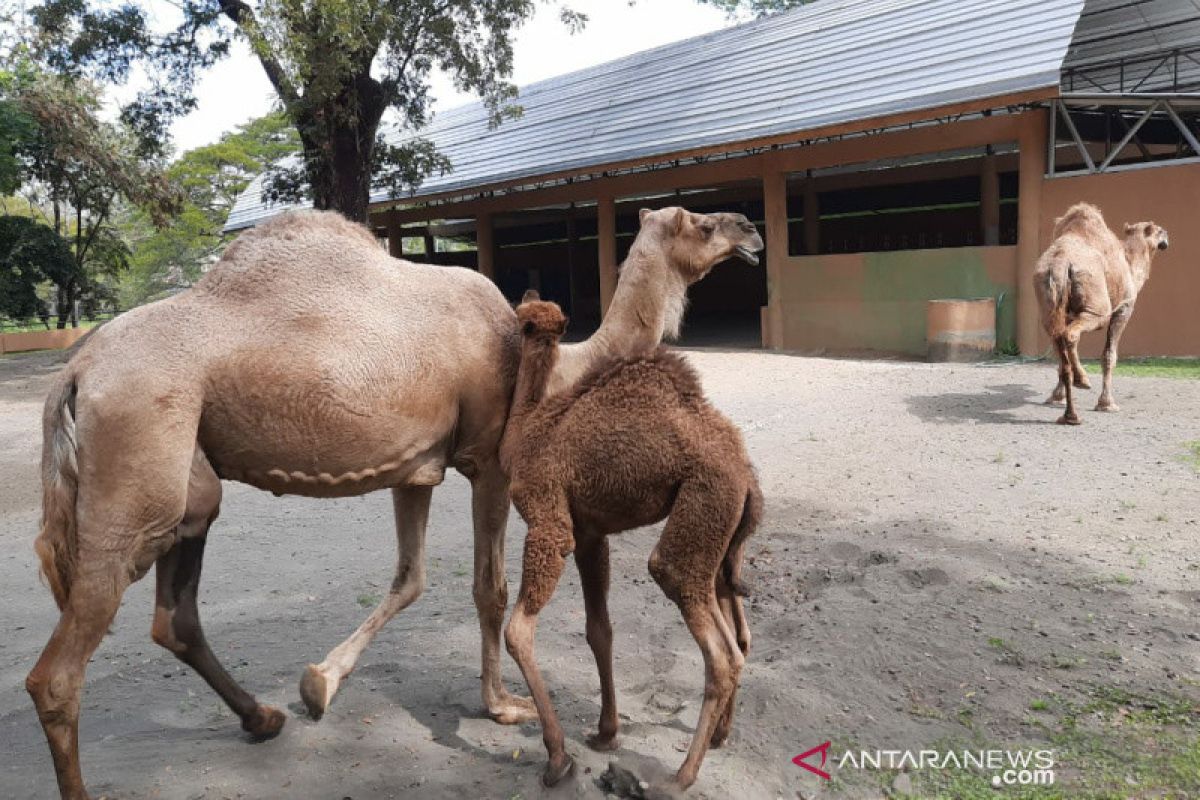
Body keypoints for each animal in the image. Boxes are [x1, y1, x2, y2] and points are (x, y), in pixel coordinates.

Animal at [501, 291, 763, 791]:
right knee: (738, 634)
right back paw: (721, 736)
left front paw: (558, 758)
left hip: (700, 509)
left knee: (711, 639)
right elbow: (599, 630)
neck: (526, 428)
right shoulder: (590, 535)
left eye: (519, 319)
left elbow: (518, 632)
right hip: (721, 536)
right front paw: (606, 734)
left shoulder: (548, 519)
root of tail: (746, 474)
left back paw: (682, 776)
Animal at [1036, 201, 1166, 424]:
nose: (1166, 235)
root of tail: (1060, 264)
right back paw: (1082, 382)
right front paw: (1107, 404)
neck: (1130, 265)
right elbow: (1109, 355)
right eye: (1158, 231)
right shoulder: (1124, 308)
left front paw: (1056, 397)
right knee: (1071, 335)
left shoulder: (1067, 314)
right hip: (1097, 309)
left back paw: (1070, 415)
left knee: (1061, 346)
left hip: (1048, 309)